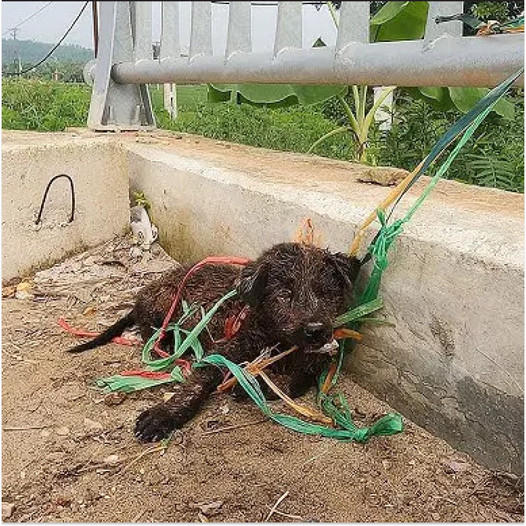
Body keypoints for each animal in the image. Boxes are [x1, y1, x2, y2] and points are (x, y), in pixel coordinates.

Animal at [68, 245, 360, 444]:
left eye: (327, 294)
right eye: (284, 295)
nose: (316, 330)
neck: (276, 339)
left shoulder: (315, 361)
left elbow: (296, 381)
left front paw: (256, 384)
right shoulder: (221, 352)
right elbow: (197, 384)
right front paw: (164, 415)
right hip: (166, 301)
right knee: (148, 327)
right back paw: (167, 344)